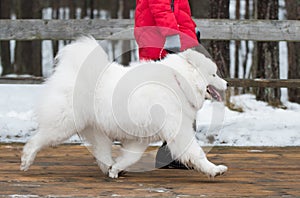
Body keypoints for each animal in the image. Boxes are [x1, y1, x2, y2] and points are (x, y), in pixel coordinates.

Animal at [21, 36, 227, 179]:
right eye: (214, 74)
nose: (226, 83)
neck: (179, 82)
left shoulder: (141, 137)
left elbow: (130, 157)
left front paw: (116, 169)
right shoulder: (179, 131)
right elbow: (196, 153)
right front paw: (214, 169)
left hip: (96, 130)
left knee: (101, 152)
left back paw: (108, 167)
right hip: (64, 125)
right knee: (39, 139)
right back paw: (26, 160)